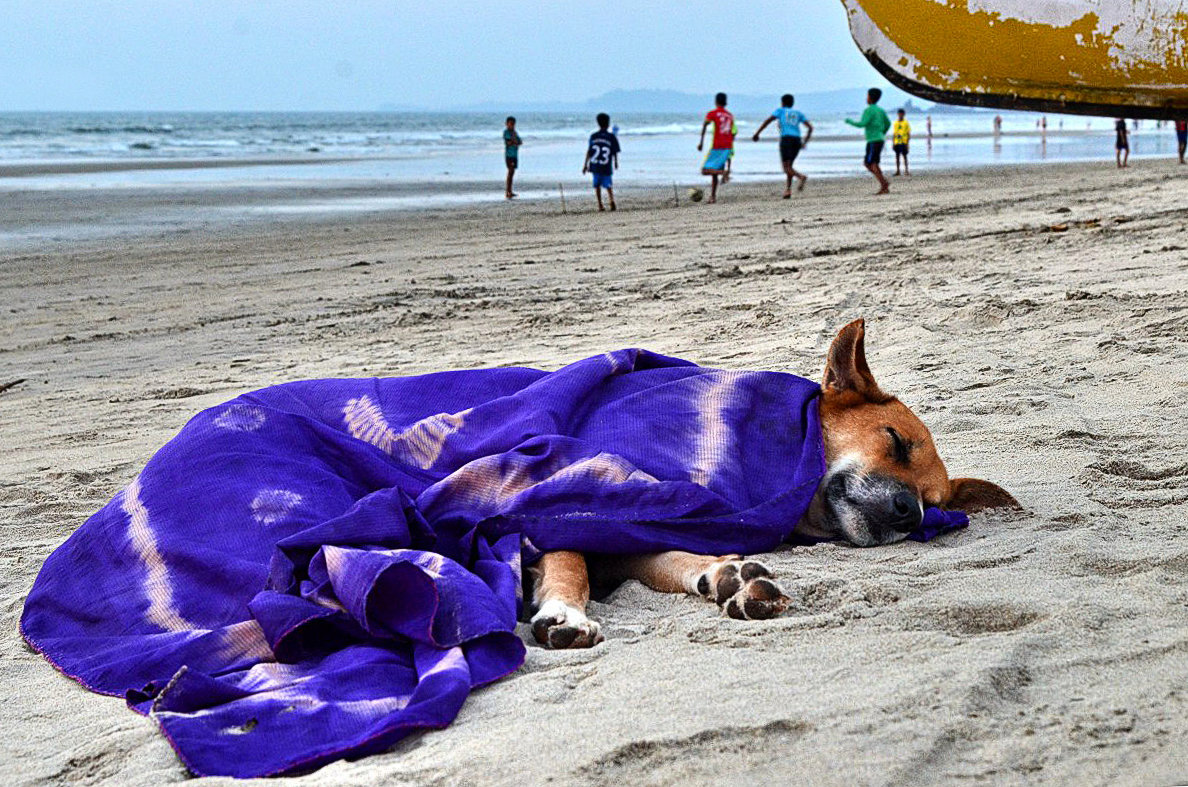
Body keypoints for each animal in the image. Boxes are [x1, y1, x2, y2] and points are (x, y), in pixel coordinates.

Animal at [529, 318, 1021, 651]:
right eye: (896, 441)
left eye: (931, 504)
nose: (909, 512)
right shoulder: (574, 495)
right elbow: (570, 560)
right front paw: (565, 613)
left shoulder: (637, 528)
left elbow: (662, 558)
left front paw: (725, 577)